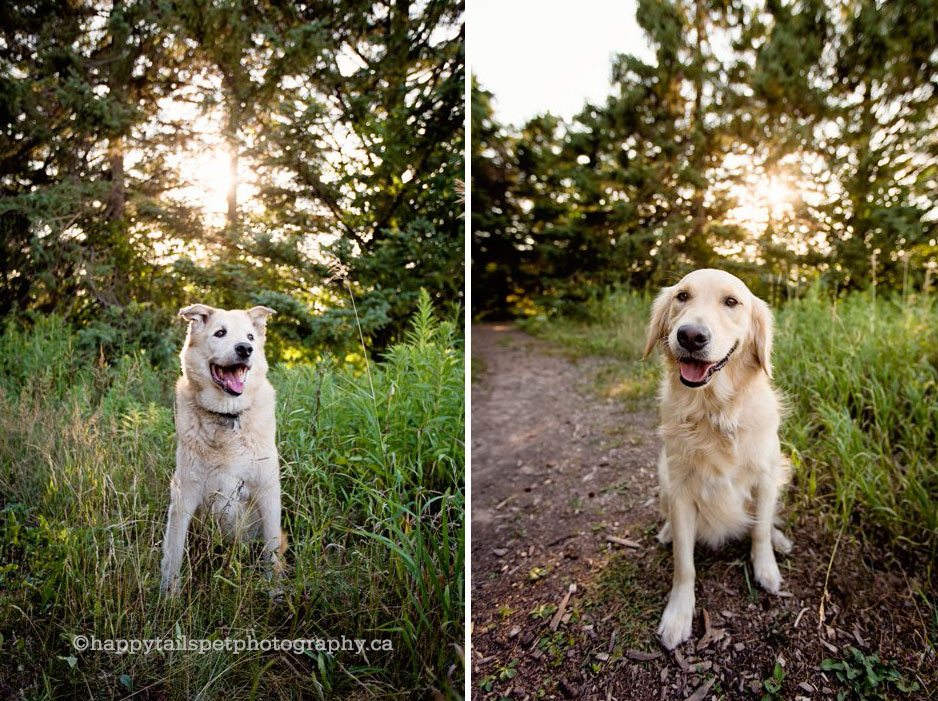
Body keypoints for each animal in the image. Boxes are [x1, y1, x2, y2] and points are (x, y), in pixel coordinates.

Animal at [159, 304, 284, 592]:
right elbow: (173, 553)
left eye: (250, 337)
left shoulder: (268, 492)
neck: (228, 416)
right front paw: (169, 596)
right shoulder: (185, 492)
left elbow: (272, 554)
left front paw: (275, 595)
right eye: (220, 333)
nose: (245, 349)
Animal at [640, 266, 788, 644]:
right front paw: (678, 615)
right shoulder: (680, 489)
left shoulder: (767, 476)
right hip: (663, 474)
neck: (714, 411)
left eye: (731, 302)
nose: (691, 336)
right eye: (682, 296)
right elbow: (684, 564)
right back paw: (666, 531)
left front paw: (766, 567)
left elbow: (760, 530)